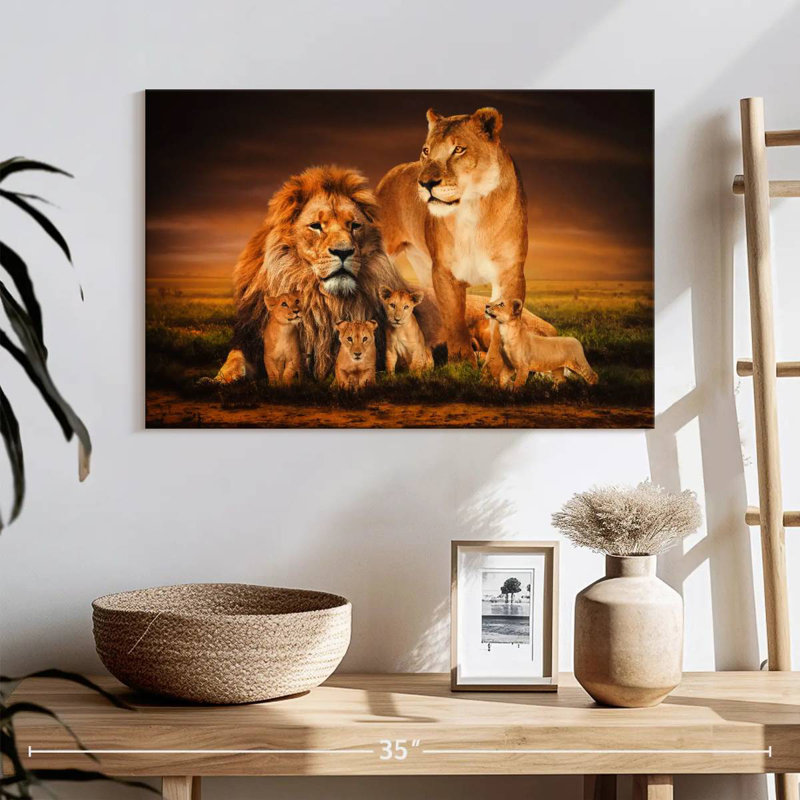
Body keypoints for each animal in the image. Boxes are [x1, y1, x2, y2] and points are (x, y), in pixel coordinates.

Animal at [214, 166, 406, 383]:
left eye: (354, 225)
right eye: (316, 226)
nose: (343, 252)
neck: (323, 301)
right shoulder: (250, 339)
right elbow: (235, 360)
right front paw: (216, 379)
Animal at [376, 106, 529, 383]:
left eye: (458, 149)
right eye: (426, 150)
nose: (425, 183)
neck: (472, 209)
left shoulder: (510, 272)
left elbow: (501, 325)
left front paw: (493, 371)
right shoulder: (444, 272)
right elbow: (454, 319)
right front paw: (461, 364)